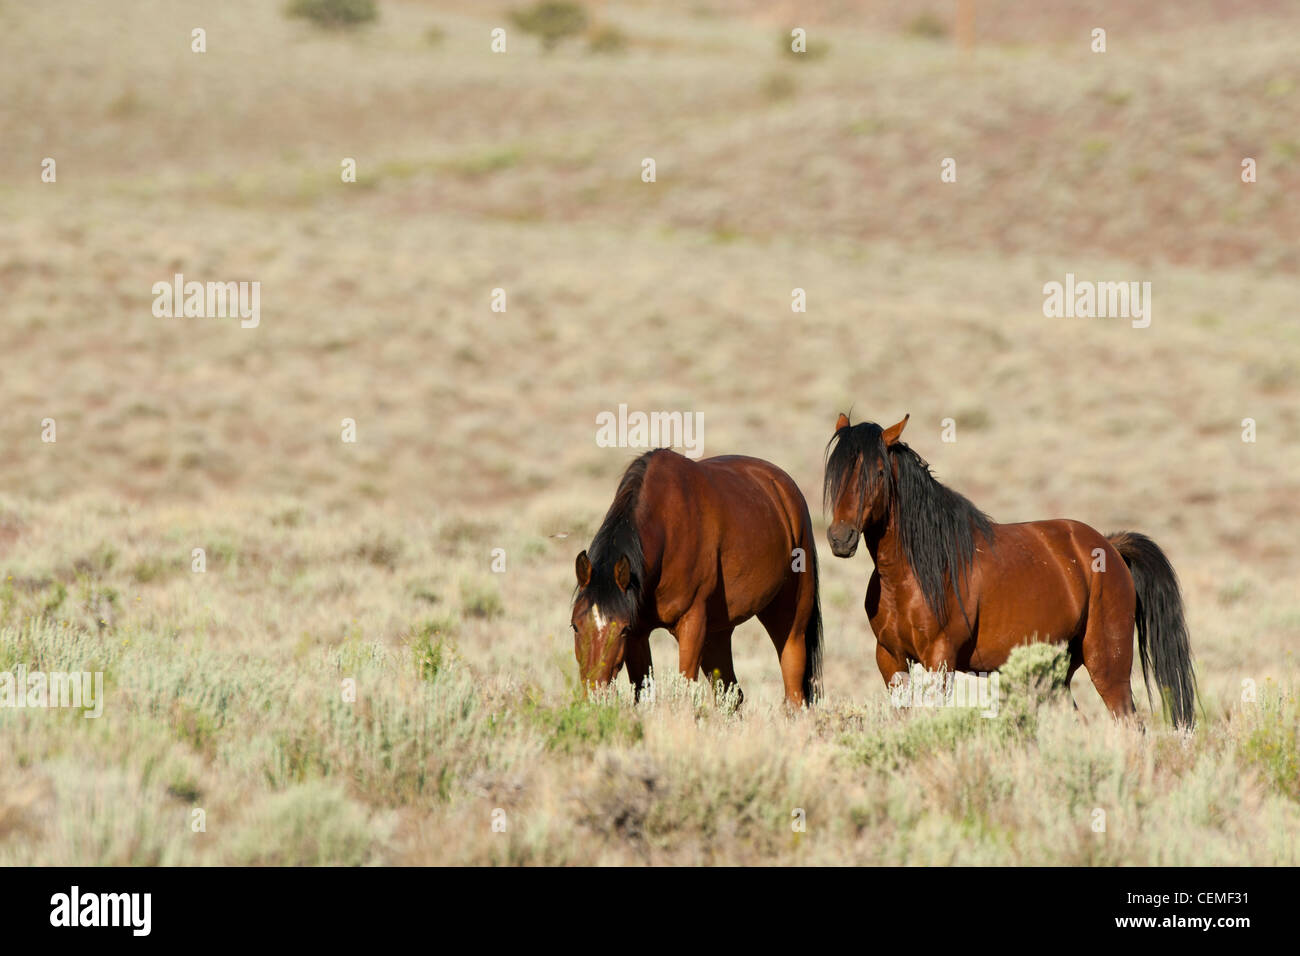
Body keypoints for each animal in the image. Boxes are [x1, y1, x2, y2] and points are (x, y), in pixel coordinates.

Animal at [571, 448, 823, 708]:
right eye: (575, 626)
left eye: (621, 630)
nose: (595, 694)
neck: (665, 527)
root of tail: (783, 488)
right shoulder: (638, 634)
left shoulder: (691, 624)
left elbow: (683, 692)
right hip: (718, 633)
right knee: (731, 695)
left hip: (790, 621)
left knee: (794, 693)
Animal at [823, 412, 1197, 728]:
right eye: (835, 474)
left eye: (879, 472)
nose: (840, 538)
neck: (914, 573)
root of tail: (1110, 548)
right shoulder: (890, 659)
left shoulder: (939, 659)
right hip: (1057, 672)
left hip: (1108, 666)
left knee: (1130, 724)